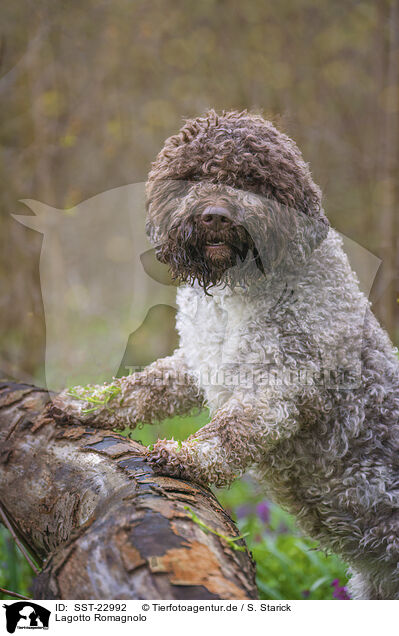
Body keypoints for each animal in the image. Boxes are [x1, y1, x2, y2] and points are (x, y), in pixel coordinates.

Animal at [53, 110, 399, 600]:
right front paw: (86, 402)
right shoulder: (196, 361)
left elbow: (233, 427)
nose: (215, 215)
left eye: (251, 180)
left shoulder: (280, 385)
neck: (238, 290)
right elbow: (141, 387)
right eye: (195, 176)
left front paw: (188, 456)